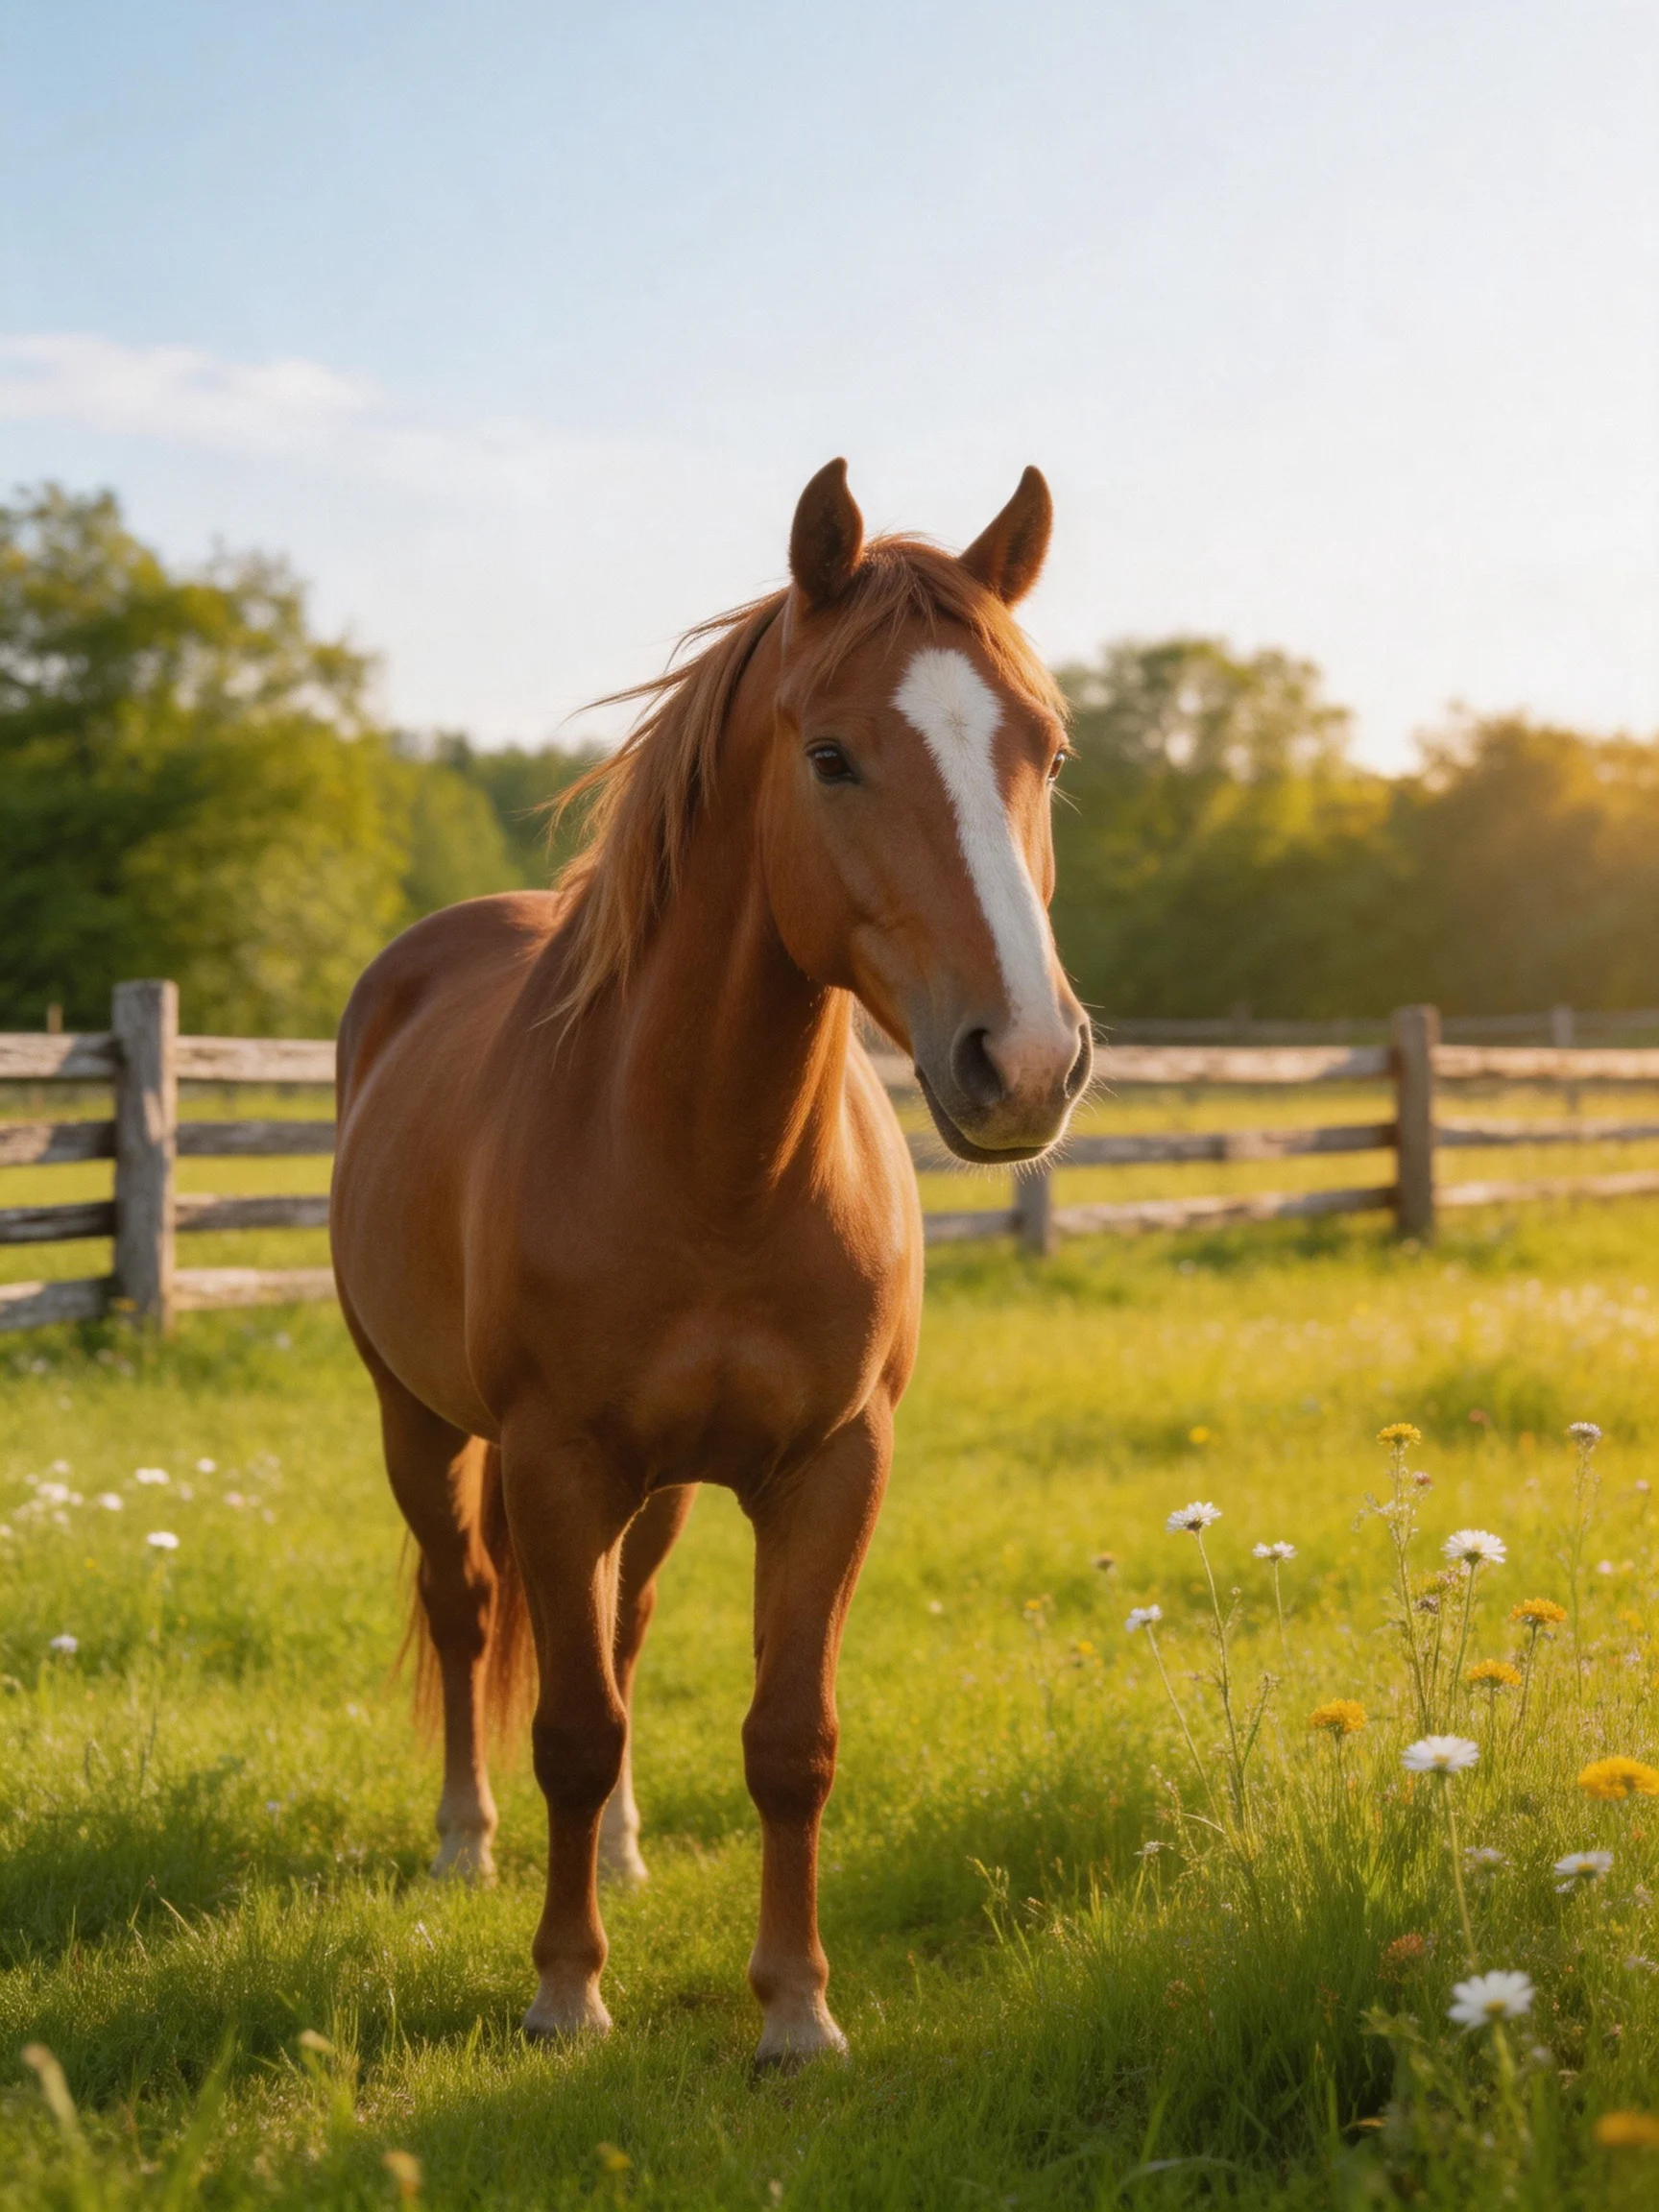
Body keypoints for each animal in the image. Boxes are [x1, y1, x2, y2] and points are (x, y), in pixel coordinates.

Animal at [330, 458, 1092, 2065]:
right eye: (832, 755)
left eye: (1046, 753)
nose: (1025, 1063)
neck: (712, 1165)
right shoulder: (554, 1460)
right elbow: (568, 1729)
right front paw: (566, 1991)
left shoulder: (833, 1466)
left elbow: (786, 1740)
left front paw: (796, 2009)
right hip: (417, 1422)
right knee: (469, 1610)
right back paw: (462, 1845)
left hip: (659, 1487)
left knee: (618, 1624)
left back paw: (620, 1850)